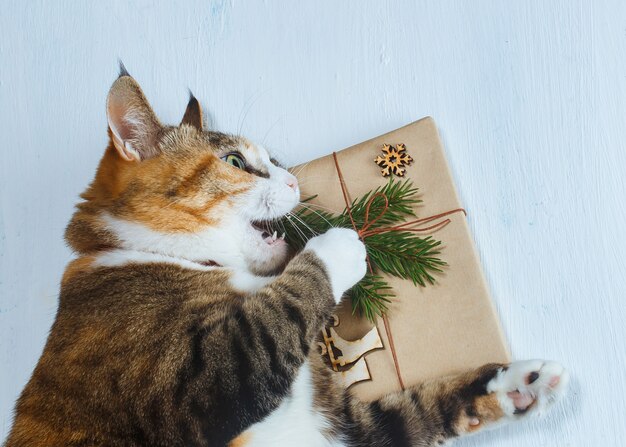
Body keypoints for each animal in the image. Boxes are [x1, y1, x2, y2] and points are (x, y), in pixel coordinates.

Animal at [4, 67, 568, 447]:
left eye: (272, 159)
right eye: (235, 161)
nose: (294, 180)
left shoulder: (339, 421)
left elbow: (410, 412)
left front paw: (516, 386)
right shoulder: (202, 384)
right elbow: (280, 309)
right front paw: (342, 244)